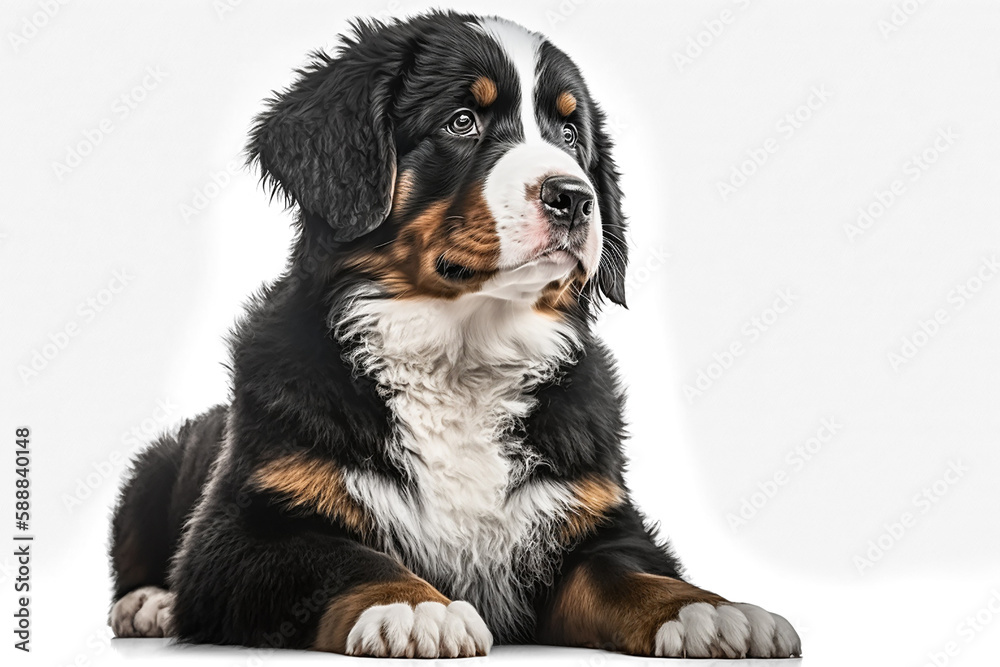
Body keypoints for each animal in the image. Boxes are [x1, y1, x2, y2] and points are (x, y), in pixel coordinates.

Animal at [109, 11, 800, 664]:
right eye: (462, 121)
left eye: (570, 134)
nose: (574, 198)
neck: (463, 352)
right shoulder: (244, 531)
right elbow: (348, 558)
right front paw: (415, 606)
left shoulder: (594, 516)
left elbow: (630, 574)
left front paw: (712, 611)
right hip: (158, 466)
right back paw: (146, 605)